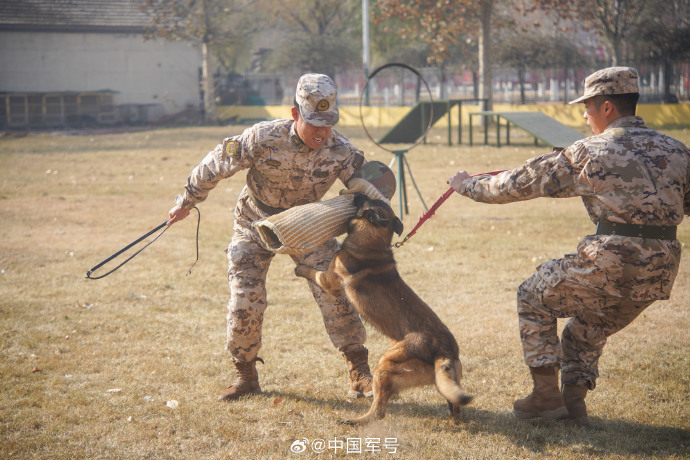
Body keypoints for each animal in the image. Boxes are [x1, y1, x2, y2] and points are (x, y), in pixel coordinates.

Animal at [292, 193, 470, 424]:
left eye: (364, 199)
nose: (354, 193)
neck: (373, 244)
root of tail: (445, 349)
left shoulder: (329, 279)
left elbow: (313, 272)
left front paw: (300, 268)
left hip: (385, 365)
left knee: (378, 412)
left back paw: (353, 421)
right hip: (442, 377)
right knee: (453, 403)